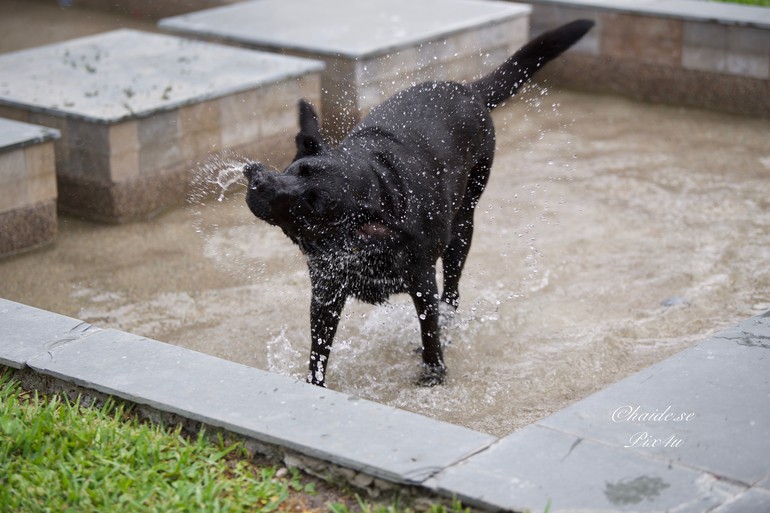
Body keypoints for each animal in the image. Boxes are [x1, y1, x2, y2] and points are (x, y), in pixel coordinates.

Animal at [243, 21, 592, 388]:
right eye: (298, 169)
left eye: (313, 205)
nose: (259, 180)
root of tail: (468, 90)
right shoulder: (326, 291)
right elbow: (318, 349)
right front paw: (315, 385)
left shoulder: (422, 283)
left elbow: (429, 331)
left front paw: (434, 372)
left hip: (461, 230)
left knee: (451, 295)